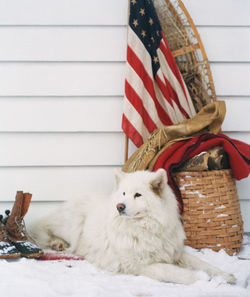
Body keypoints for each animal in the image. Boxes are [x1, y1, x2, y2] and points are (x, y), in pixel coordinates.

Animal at [30, 168, 234, 284]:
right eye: (123, 193)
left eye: (137, 195)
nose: (119, 206)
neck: (146, 227)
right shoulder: (137, 264)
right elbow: (170, 271)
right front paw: (201, 278)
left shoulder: (174, 253)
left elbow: (203, 263)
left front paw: (225, 275)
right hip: (72, 224)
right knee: (43, 228)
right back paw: (57, 243)